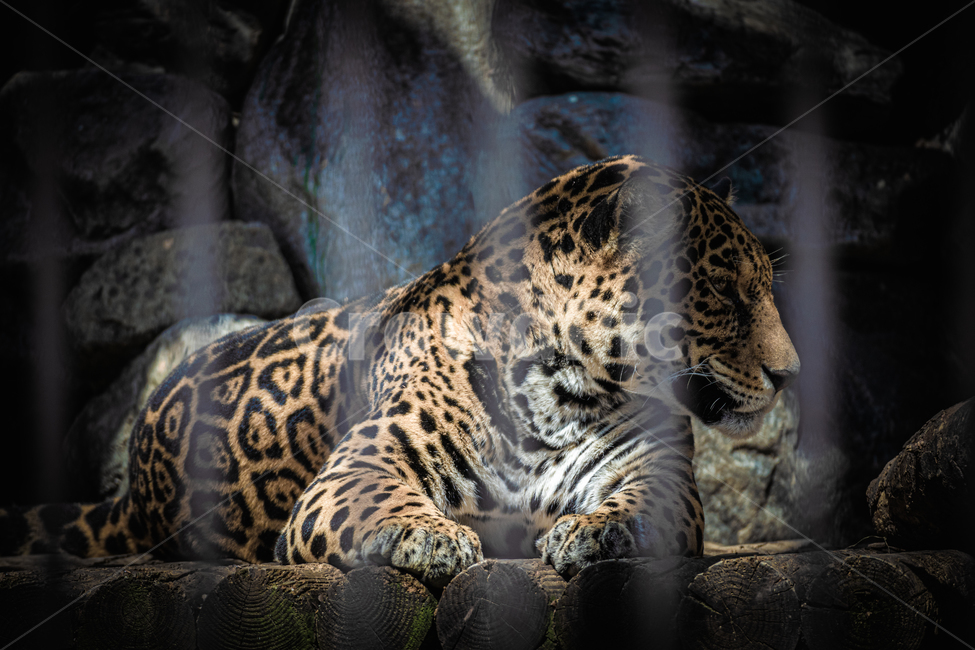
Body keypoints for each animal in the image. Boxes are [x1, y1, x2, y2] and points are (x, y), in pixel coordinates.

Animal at [0, 155, 799, 586]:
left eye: (761, 287)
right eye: (724, 292)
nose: (791, 373)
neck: (558, 389)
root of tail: (132, 489)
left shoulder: (657, 473)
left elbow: (639, 508)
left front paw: (593, 534)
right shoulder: (355, 470)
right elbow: (382, 502)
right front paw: (434, 537)